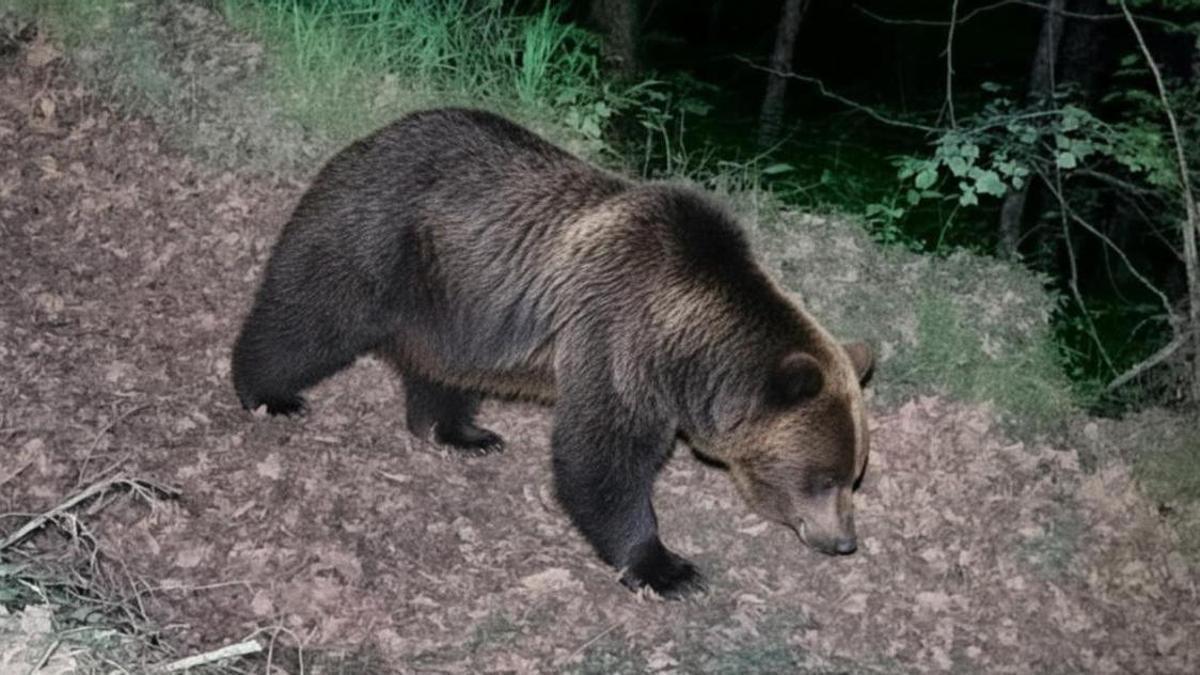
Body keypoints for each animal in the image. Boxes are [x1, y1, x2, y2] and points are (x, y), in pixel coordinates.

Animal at [232, 108, 873, 597]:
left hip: (450, 304)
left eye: (852, 475)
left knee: (439, 367)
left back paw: (461, 433)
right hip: (378, 240)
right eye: (823, 478)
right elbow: (599, 458)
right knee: (313, 313)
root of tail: (372, 136)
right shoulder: (617, 342)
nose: (844, 541)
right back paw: (268, 392)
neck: (688, 344)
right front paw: (667, 568)